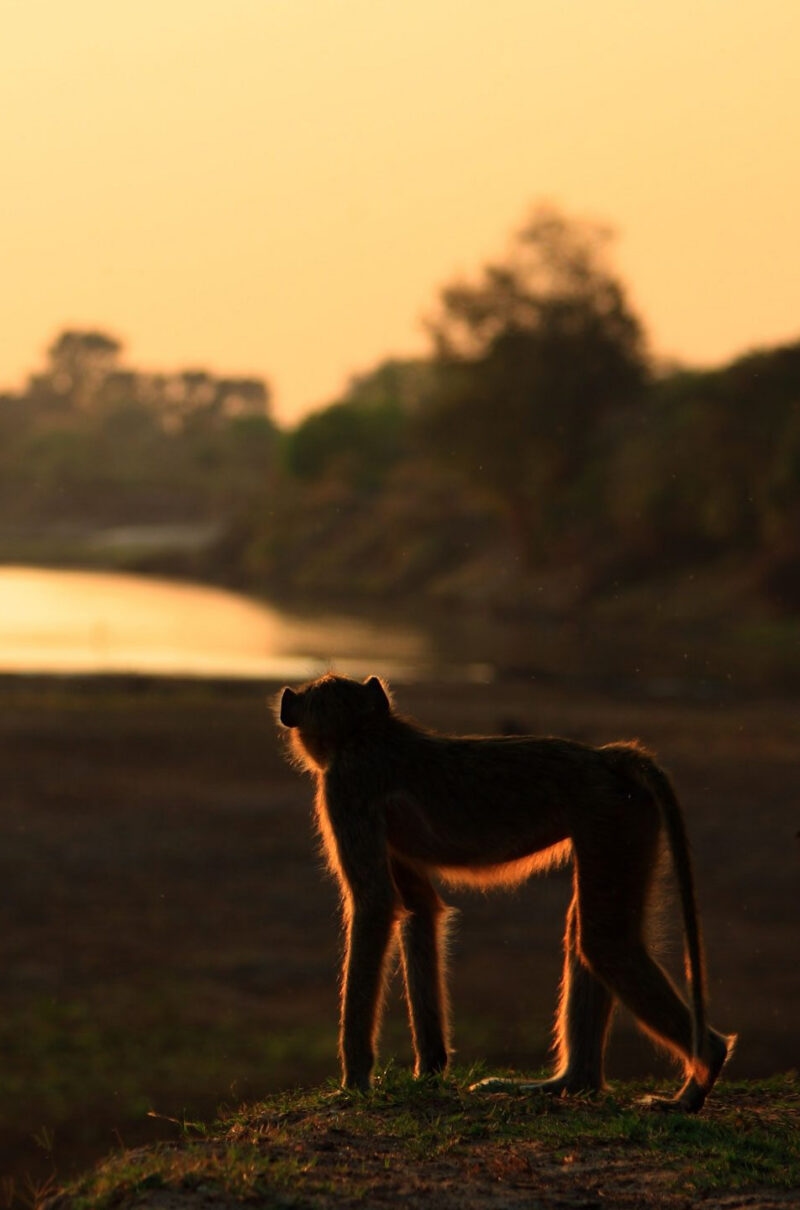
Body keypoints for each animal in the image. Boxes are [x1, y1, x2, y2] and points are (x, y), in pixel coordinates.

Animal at [278, 673, 734, 1112]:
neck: (363, 733)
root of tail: (606, 758)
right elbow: (420, 908)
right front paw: (430, 1070)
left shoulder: (346, 788)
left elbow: (374, 905)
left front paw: (354, 1083)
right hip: (624, 818)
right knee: (590, 935)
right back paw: (570, 1084)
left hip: (612, 815)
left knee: (605, 943)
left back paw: (697, 1079)